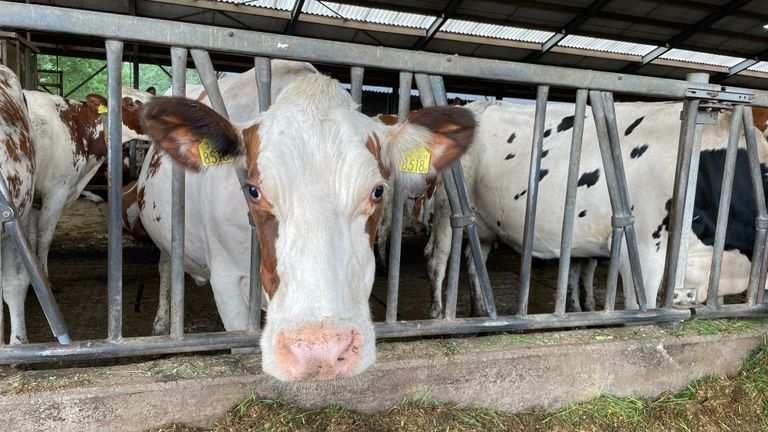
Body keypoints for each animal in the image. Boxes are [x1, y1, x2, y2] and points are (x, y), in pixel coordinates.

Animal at [25, 89, 150, 282]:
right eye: (130, 103)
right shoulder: (56, 190)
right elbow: (44, 236)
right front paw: (44, 278)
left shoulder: (36, 197)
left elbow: (31, 238)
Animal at [138, 61, 474, 382]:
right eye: (253, 190)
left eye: (378, 190)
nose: (319, 351)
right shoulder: (226, 280)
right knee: (166, 266)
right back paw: (161, 322)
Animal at [426, 99, 768, 318]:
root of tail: (475, 105)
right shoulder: (643, 249)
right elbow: (638, 304)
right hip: (446, 208)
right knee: (437, 257)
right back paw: (438, 313)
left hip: (484, 222)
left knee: (474, 260)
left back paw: (482, 312)